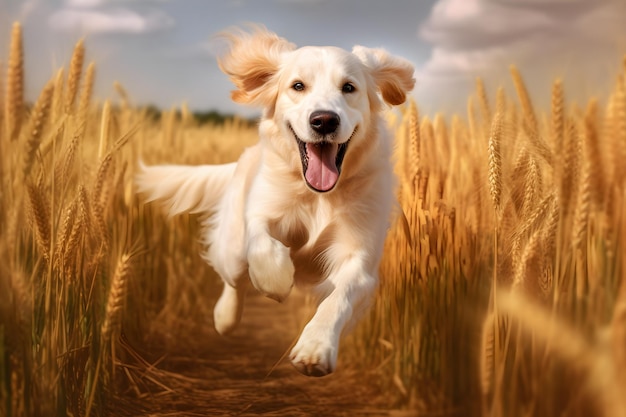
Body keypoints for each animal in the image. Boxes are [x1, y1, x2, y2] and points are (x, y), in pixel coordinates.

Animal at [134, 27, 412, 376]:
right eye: (298, 86)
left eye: (349, 87)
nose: (324, 120)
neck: (318, 195)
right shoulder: (260, 215)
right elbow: (263, 244)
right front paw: (277, 281)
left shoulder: (359, 257)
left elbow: (337, 300)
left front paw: (315, 347)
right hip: (232, 246)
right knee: (234, 278)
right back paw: (225, 317)